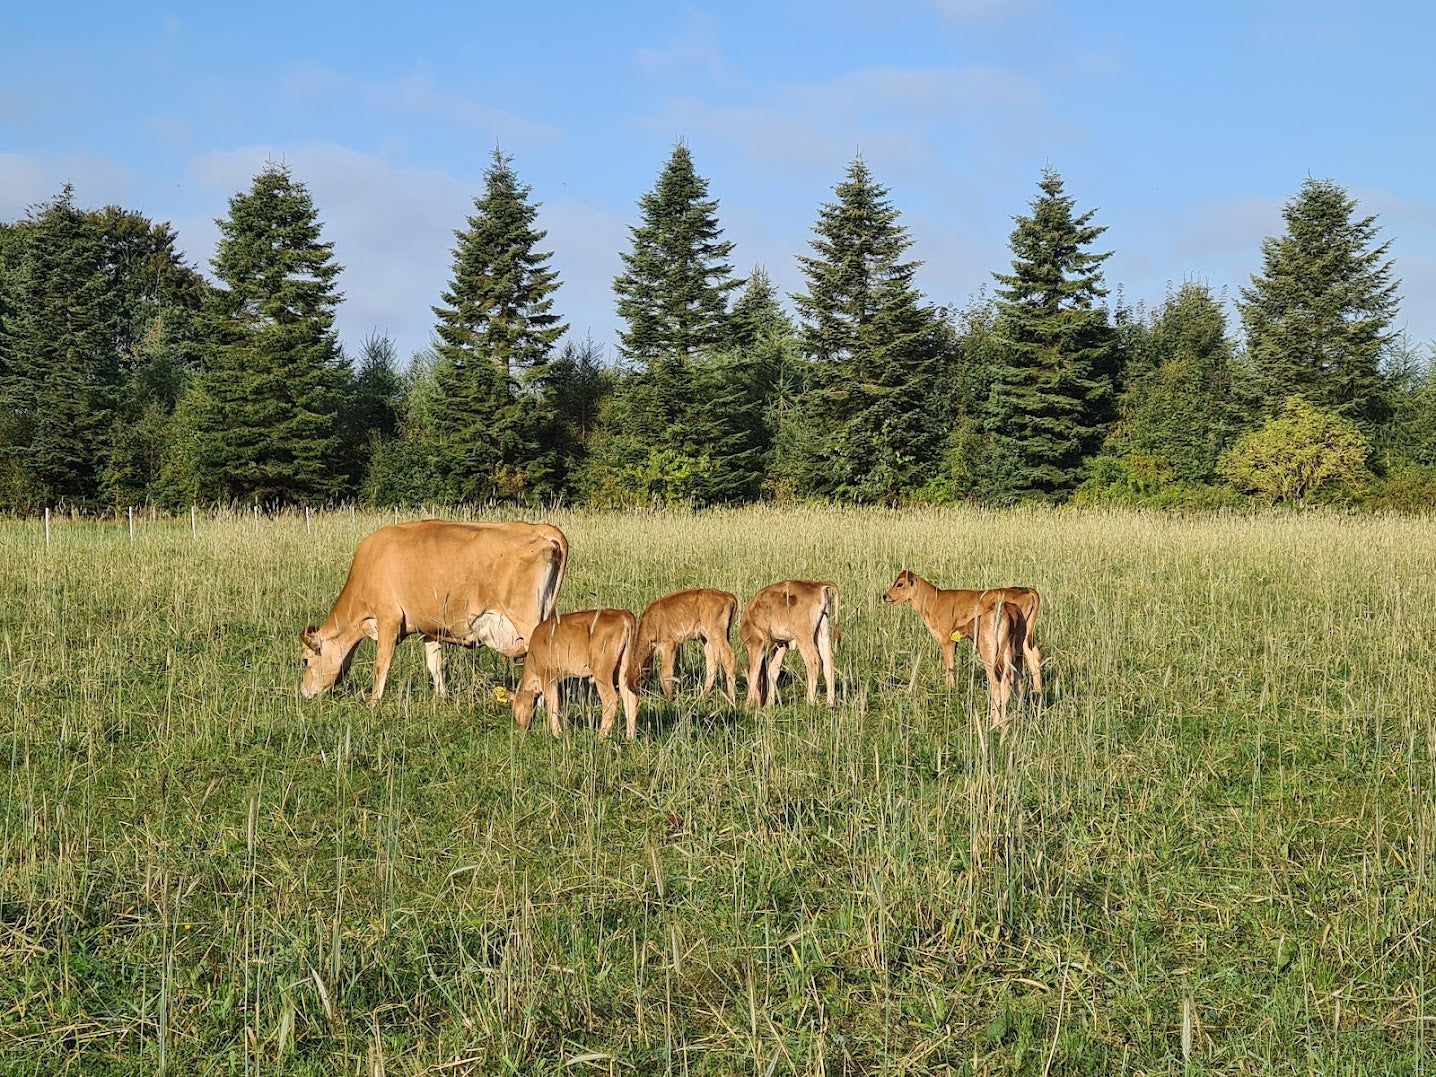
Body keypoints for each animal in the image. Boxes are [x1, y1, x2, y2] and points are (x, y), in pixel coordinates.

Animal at [301, 519, 565, 703]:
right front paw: (441, 697)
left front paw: (373, 703)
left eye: (305, 661)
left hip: (525, 620)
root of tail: (542, 529)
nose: (304, 692)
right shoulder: (430, 628)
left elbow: (381, 664)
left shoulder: (388, 619)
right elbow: (435, 664)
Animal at [508, 611, 637, 740]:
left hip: (601, 670)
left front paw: (557, 735)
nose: (521, 730)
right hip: (624, 668)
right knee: (630, 698)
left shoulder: (547, 676)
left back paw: (600, 738)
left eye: (514, 710)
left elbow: (553, 706)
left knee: (611, 701)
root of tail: (623, 614)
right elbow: (558, 706)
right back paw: (629, 738)